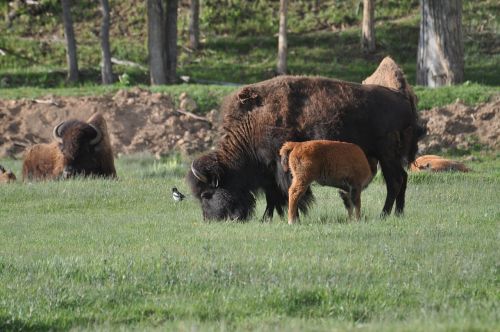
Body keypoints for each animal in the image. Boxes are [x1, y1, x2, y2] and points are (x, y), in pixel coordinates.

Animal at [188, 75, 426, 220]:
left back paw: (384, 214)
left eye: (207, 194)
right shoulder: (267, 172)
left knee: (394, 181)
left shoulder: (278, 166)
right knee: (402, 179)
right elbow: (272, 196)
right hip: (387, 157)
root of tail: (403, 99)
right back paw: (398, 214)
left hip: (386, 155)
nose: (211, 220)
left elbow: (286, 192)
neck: (252, 123)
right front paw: (268, 218)